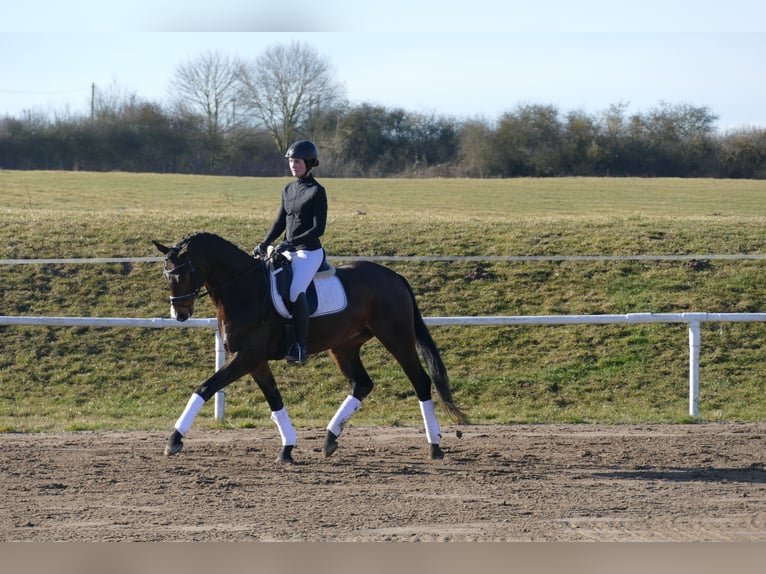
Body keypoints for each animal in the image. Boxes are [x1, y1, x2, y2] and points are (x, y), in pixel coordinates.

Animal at [152, 232, 467, 462]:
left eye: (179, 274)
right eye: (166, 275)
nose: (179, 314)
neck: (243, 290)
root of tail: (394, 276)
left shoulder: (246, 357)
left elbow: (205, 388)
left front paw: (174, 440)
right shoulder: (255, 362)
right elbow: (275, 400)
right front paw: (287, 448)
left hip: (396, 337)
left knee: (420, 381)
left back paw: (435, 446)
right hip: (344, 347)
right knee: (361, 385)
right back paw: (329, 440)